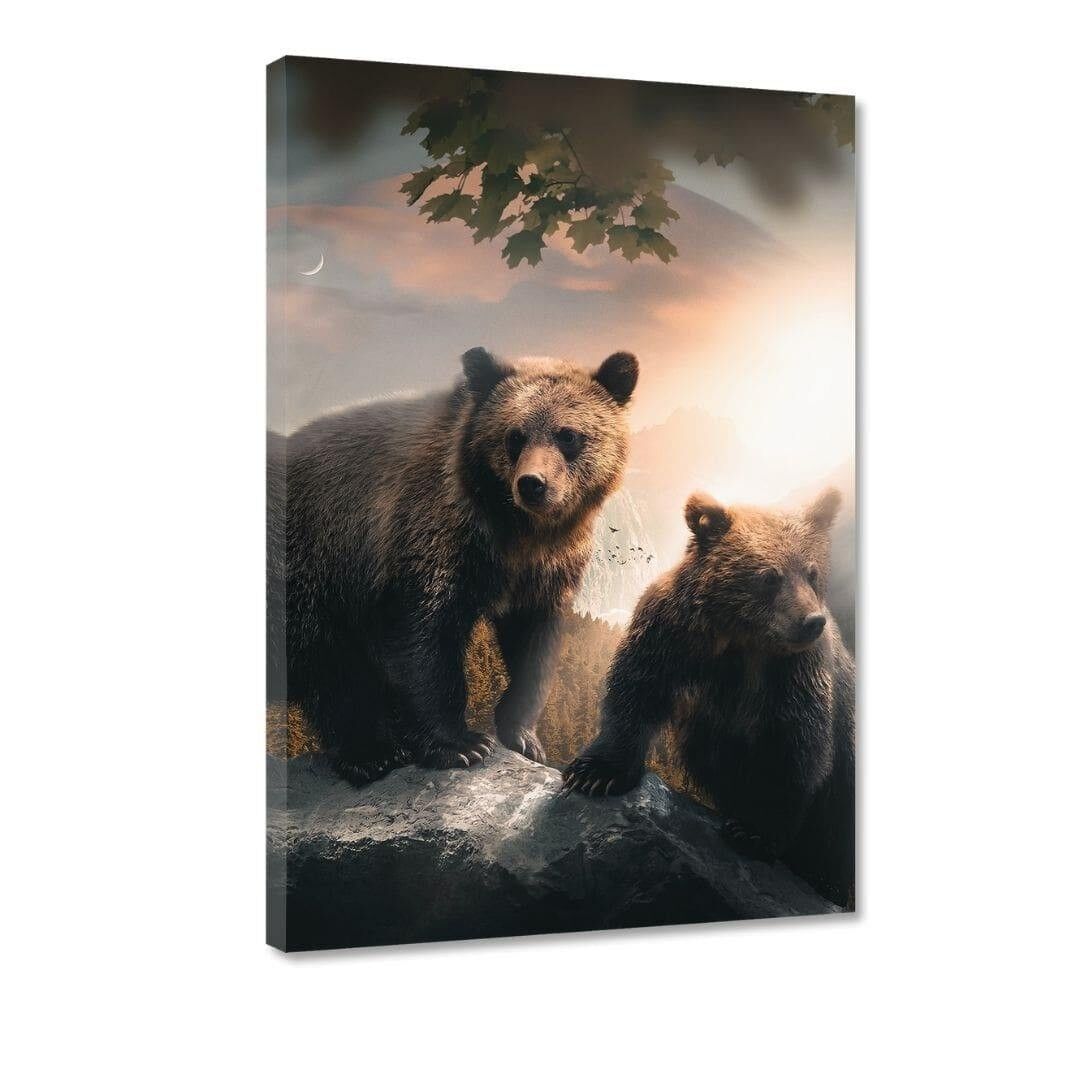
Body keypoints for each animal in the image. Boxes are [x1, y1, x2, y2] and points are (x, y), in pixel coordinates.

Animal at [267, 346, 639, 787]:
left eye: (568, 435)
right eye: (514, 435)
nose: (533, 483)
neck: (514, 532)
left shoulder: (544, 570)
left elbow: (534, 643)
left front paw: (523, 735)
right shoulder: (428, 537)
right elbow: (422, 638)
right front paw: (461, 744)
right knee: (331, 666)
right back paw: (372, 752)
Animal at [562, 487, 855, 908]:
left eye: (812, 572)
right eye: (770, 576)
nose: (812, 621)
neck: (740, 637)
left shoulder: (792, 674)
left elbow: (795, 747)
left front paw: (753, 831)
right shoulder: (672, 632)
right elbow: (635, 689)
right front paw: (596, 772)